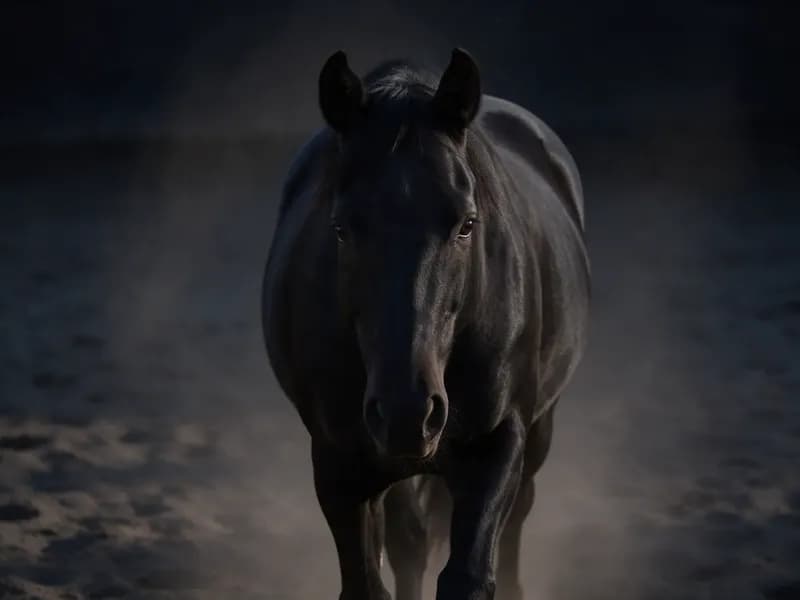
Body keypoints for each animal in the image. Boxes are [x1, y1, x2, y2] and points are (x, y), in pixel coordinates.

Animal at [261, 48, 590, 600]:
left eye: (467, 223)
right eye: (340, 227)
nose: (409, 411)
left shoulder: (495, 446)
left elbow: (469, 575)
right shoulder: (339, 462)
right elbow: (370, 580)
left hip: (537, 430)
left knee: (515, 518)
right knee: (409, 541)